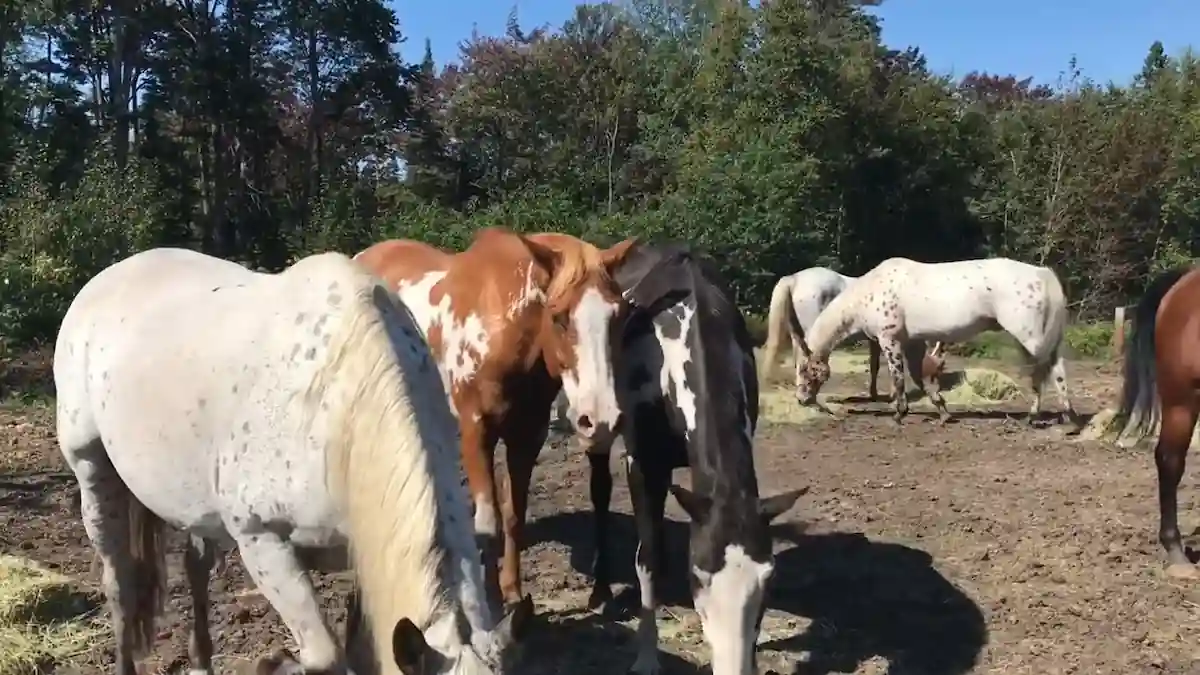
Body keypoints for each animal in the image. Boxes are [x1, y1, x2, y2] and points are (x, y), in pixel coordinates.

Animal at [53, 247, 531, 675]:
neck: (338, 406)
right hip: (91, 468)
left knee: (195, 568)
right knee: (119, 581)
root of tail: (106, 278)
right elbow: (325, 656)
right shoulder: (262, 540)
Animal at [354, 227, 637, 612]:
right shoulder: (476, 431)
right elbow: (489, 521)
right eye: (559, 317)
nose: (601, 419)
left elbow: (513, 515)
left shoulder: (527, 436)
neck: (502, 332)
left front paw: (512, 592)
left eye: (619, 315)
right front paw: (490, 598)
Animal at [587, 243, 806, 675]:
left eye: (768, 579)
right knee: (600, 491)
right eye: (699, 579)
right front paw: (646, 657)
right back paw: (600, 590)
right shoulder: (643, 465)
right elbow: (647, 557)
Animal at [759, 266, 946, 399]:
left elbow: (874, 365)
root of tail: (795, 278)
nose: (938, 388)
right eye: (939, 368)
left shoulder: (875, 340)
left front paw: (874, 393)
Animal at [793, 256, 1082, 428]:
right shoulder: (913, 343)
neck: (869, 292)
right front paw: (942, 412)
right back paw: (1065, 416)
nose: (801, 399)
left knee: (1046, 371)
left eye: (805, 370)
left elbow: (899, 378)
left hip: (1030, 338)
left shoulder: (890, 341)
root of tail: (1043, 274)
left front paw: (899, 413)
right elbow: (920, 377)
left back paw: (1037, 416)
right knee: (1055, 372)